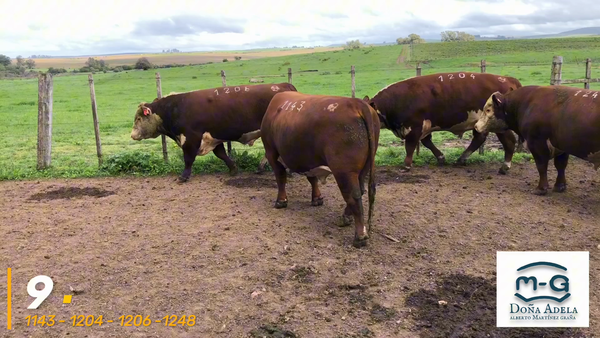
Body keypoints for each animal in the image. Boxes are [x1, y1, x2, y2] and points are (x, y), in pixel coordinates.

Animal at [129, 82, 298, 182]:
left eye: (138, 118)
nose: (132, 135)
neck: (175, 107)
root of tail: (284, 85)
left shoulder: (191, 138)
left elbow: (188, 158)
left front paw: (184, 176)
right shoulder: (212, 137)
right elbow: (221, 154)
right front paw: (233, 169)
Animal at [258, 91, 380, 247]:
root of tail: (358, 104)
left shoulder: (271, 152)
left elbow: (280, 177)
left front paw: (281, 201)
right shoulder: (308, 160)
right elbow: (312, 178)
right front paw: (317, 198)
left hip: (344, 171)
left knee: (354, 195)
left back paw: (360, 237)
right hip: (364, 166)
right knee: (361, 190)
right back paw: (345, 218)